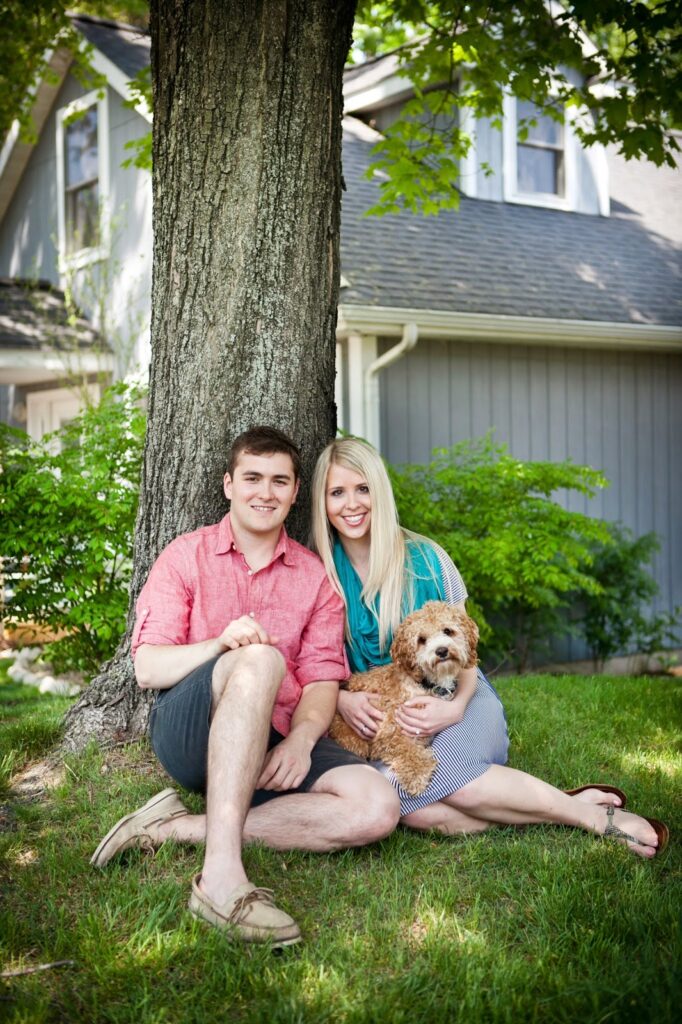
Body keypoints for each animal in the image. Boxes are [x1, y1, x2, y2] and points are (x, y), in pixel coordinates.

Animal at [325, 598, 475, 798]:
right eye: (421, 640)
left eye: (447, 631)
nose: (442, 651)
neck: (423, 682)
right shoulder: (389, 732)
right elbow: (407, 750)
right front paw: (417, 775)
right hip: (354, 741)